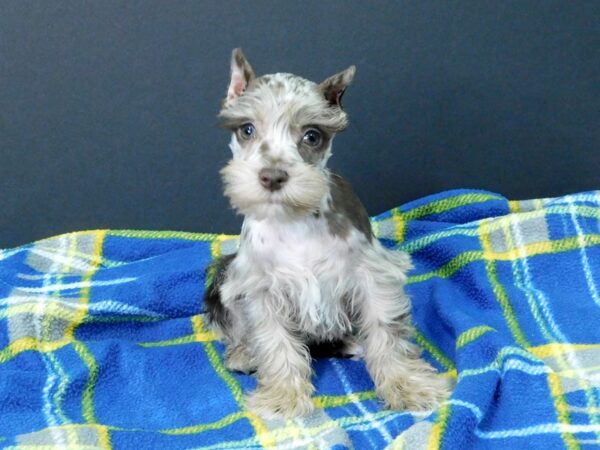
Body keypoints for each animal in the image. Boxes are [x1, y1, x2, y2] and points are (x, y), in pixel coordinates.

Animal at [204, 48, 448, 418]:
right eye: (247, 129)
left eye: (312, 136)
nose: (272, 176)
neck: (295, 221)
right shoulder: (261, 287)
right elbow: (274, 340)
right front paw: (283, 397)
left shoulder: (372, 274)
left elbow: (387, 330)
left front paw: (407, 385)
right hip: (225, 274)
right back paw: (244, 353)